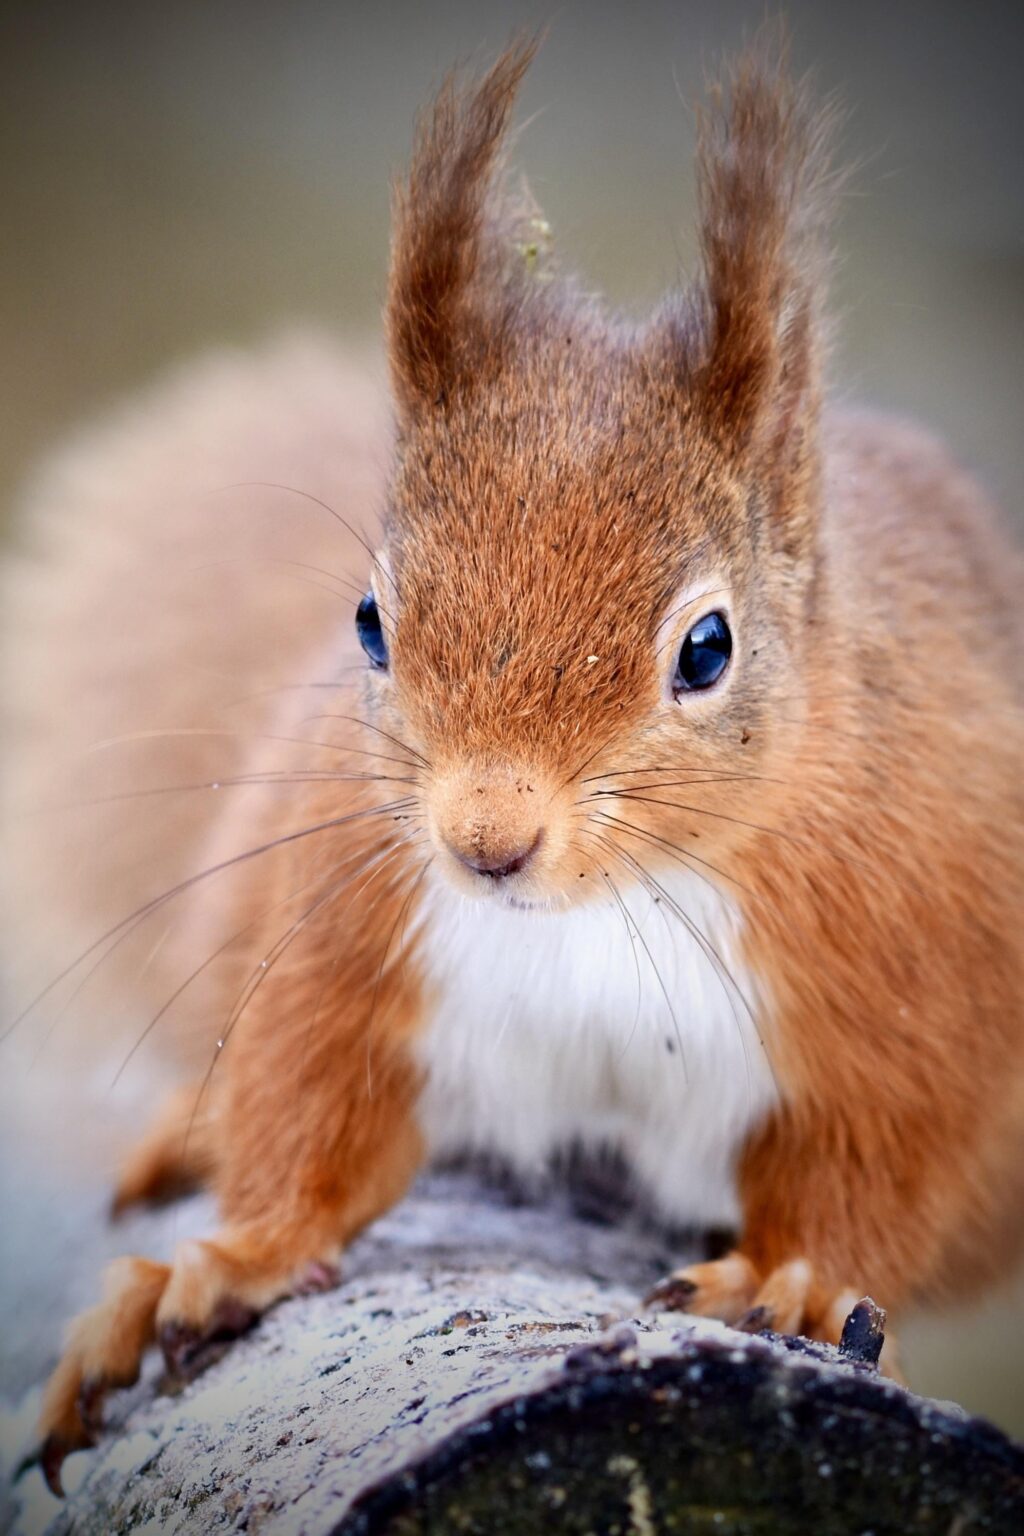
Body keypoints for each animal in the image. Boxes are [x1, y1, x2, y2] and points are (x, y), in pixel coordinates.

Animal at [2, 38, 1022, 1493]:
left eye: (707, 648)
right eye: (371, 621)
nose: (486, 841)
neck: (603, 908)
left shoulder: (922, 986)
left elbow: (879, 1169)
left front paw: (797, 1281)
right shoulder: (350, 924)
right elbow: (307, 1105)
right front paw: (215, 1267)